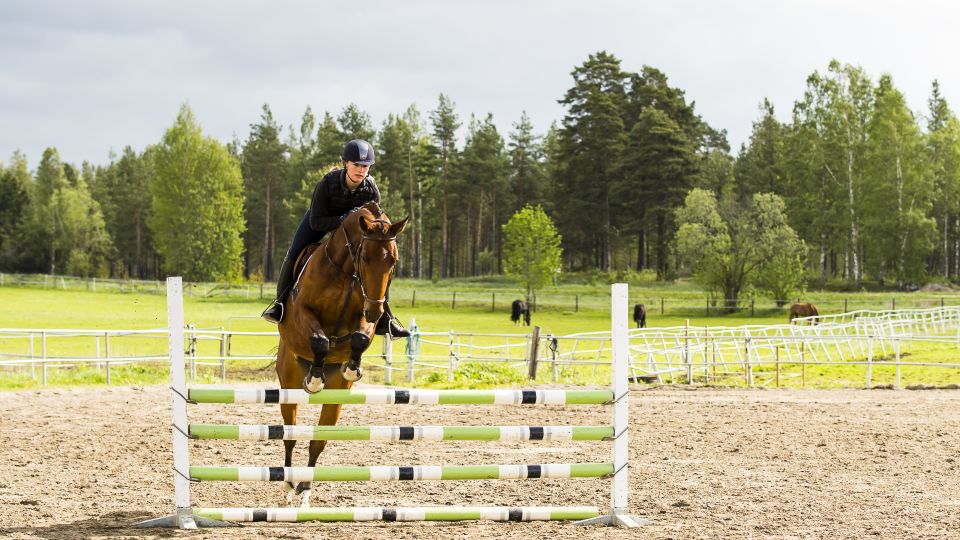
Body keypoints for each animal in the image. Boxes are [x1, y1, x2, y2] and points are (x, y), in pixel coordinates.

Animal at [274, 201, 404, 506]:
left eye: (392, 261)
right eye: (365, 258)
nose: (376, 310)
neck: (345, 272)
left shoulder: (364, 318)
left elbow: (359, 337)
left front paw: (352, 367)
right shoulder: (304, 312)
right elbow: (320, 340)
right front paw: (314, 379)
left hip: (336, 396)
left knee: (317, 441)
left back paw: (304, 491)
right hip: (288, 380)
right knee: (290, 435)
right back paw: (288, 486)